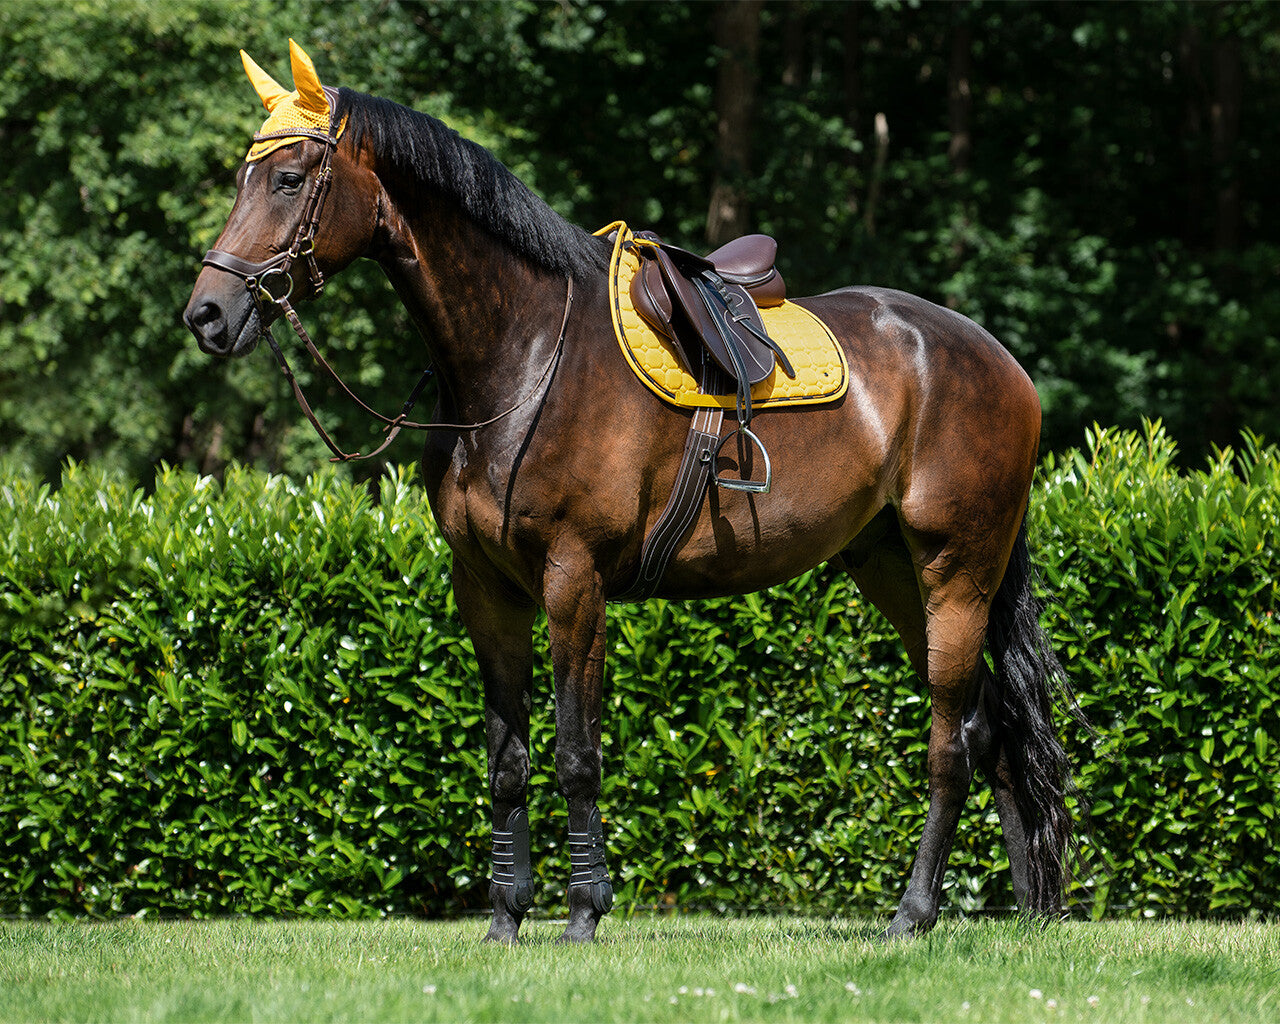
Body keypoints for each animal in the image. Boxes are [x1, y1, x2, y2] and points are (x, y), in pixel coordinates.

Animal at [184, 41, 1073, 943]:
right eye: (244, 177)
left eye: (288, 178)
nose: (208, 314)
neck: (524, 353)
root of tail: (998, 361)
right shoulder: (486, 589)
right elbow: (507, 761)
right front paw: (505, 917)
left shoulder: (573, 581)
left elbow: (578, 751)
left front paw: (583, 911)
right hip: (889, 568)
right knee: (994, 728)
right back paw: (1028, 910)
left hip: (956, 572)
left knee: (951, 741)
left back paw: (913, 913)